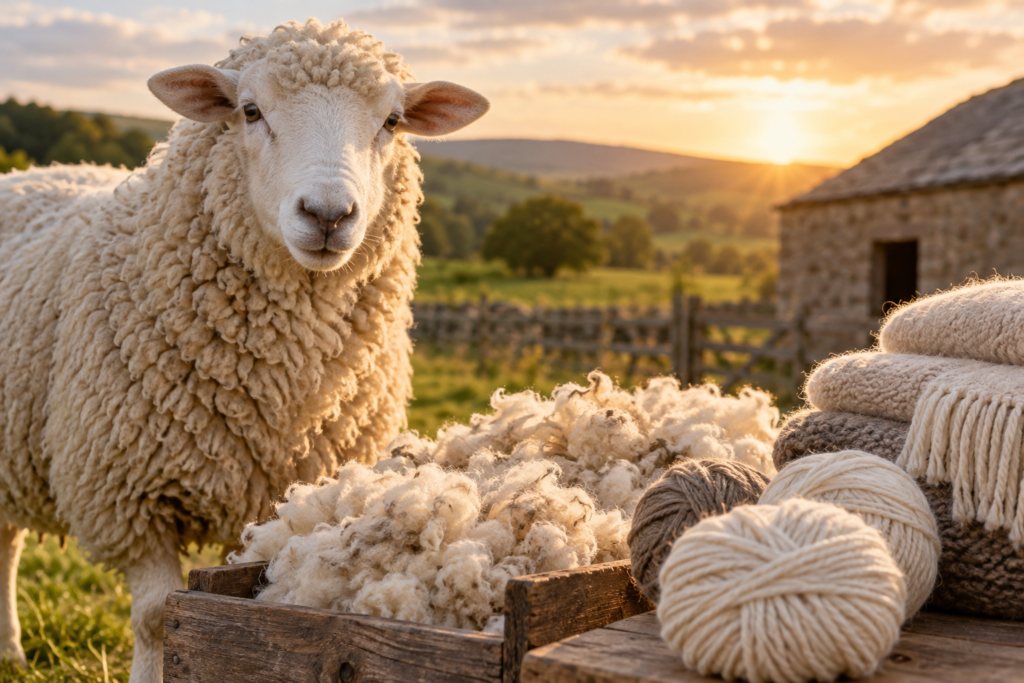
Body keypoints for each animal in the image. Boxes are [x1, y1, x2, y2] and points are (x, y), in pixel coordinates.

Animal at [0, 19, 488, 682]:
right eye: (250, 111)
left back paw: (9, 648)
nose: (328, 214)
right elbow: (157, 618)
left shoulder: (281, 497)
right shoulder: (126, 493)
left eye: (392, 120)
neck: (278, 385)